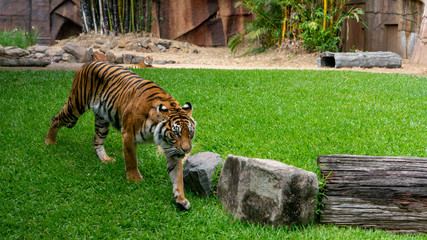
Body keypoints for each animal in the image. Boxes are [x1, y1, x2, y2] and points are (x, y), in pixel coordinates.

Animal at [45, 60, 196, 210]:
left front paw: (181, 198)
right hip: (75, 105)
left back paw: (105, 159)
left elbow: (177, 176)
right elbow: (131, 160)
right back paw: (50, 141)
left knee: (96, 140)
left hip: (102, 121)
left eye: (189, 133)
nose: (186, 150)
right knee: (56, 119)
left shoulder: (171, 149)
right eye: (176, 133)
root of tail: (88, 63)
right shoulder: (128, 135)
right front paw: (135, 180)